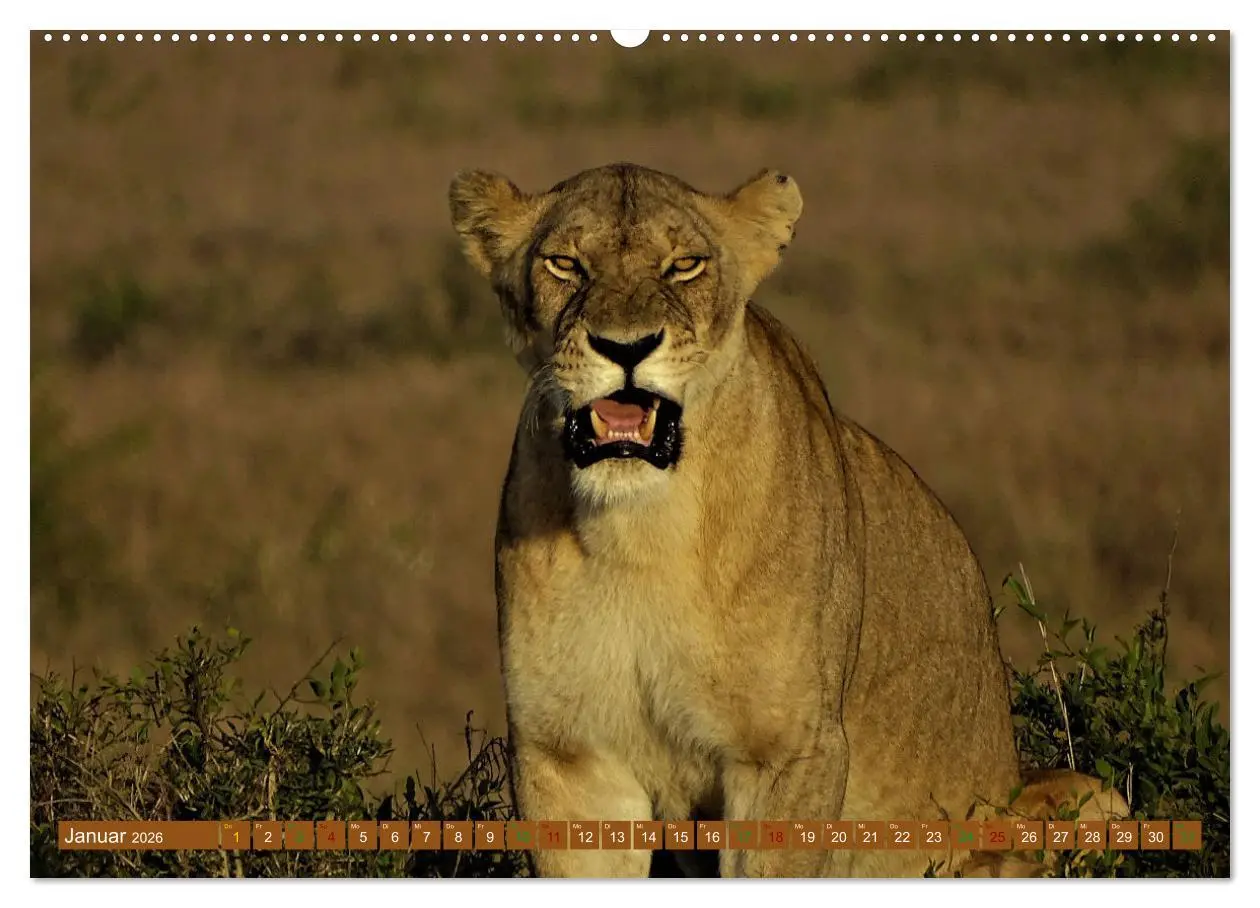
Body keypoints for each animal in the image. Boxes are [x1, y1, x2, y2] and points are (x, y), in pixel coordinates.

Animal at [448, 162, 1061, 877]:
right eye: (565, 264)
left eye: (685, 265)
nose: (625, 348)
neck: (640, 531)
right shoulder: (568, 757)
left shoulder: (788, 751)